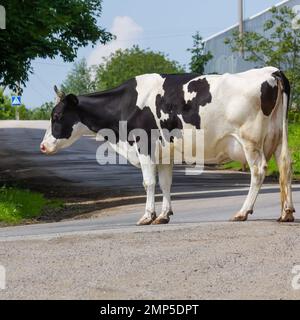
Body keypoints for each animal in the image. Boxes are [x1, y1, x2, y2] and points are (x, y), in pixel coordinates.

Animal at [40, 65, 296, 225]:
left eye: (57, 115)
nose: (42, 146)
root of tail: (271, 71)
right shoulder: (164, 152)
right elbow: (165, 183)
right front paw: (163, 215)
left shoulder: (144, 144)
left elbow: (149, 182)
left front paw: (147, 216)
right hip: (278, 136)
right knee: (285, 166)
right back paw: (286, 213)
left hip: (250, 140)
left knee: (258, 171)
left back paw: (243, 212)